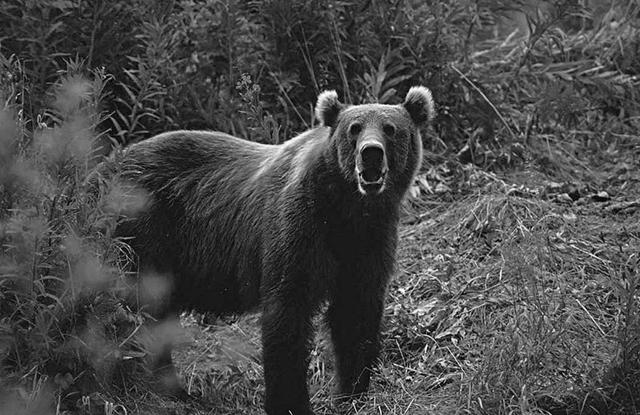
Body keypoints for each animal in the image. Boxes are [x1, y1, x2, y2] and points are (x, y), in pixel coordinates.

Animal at [115, 86, 436, 414]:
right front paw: (291, 401)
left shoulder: (368, 242)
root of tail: (115, 159)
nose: (371, 153)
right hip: (145, 227)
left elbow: (355, 311)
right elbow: (288, 312)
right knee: (146, 307)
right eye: (354, 128)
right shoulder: (298, 227)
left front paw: (351, 393)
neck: (346, 208)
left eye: (390, 129)